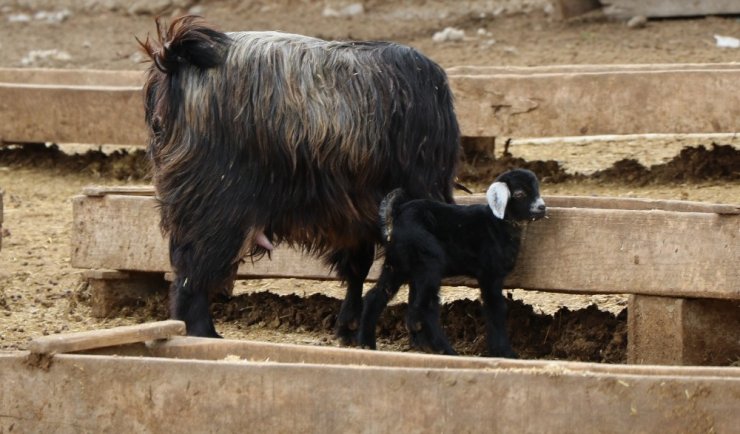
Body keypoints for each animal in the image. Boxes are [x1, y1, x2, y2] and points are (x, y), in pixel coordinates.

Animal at [138, 17, 460, 340]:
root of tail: (177, 58)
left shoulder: (352, 213)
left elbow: (357, 265)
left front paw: (348, 327)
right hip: (213, 202)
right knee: (193, 271)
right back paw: (203, 333)